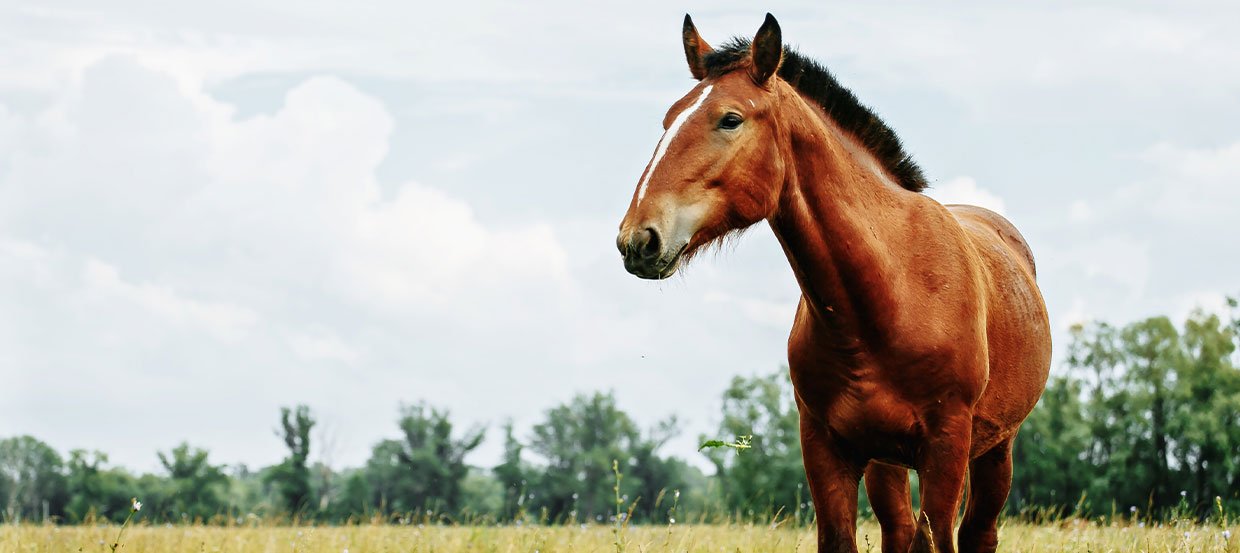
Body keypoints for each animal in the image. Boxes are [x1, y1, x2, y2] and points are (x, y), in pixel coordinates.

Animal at [615, 12, 1051, 553]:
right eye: (668, 119)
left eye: (730, 118)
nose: (638, 239)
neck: (889, 295)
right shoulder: (824, 447)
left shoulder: (947, 445)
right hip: (888, 462)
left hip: (995, 450)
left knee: (977, 533)